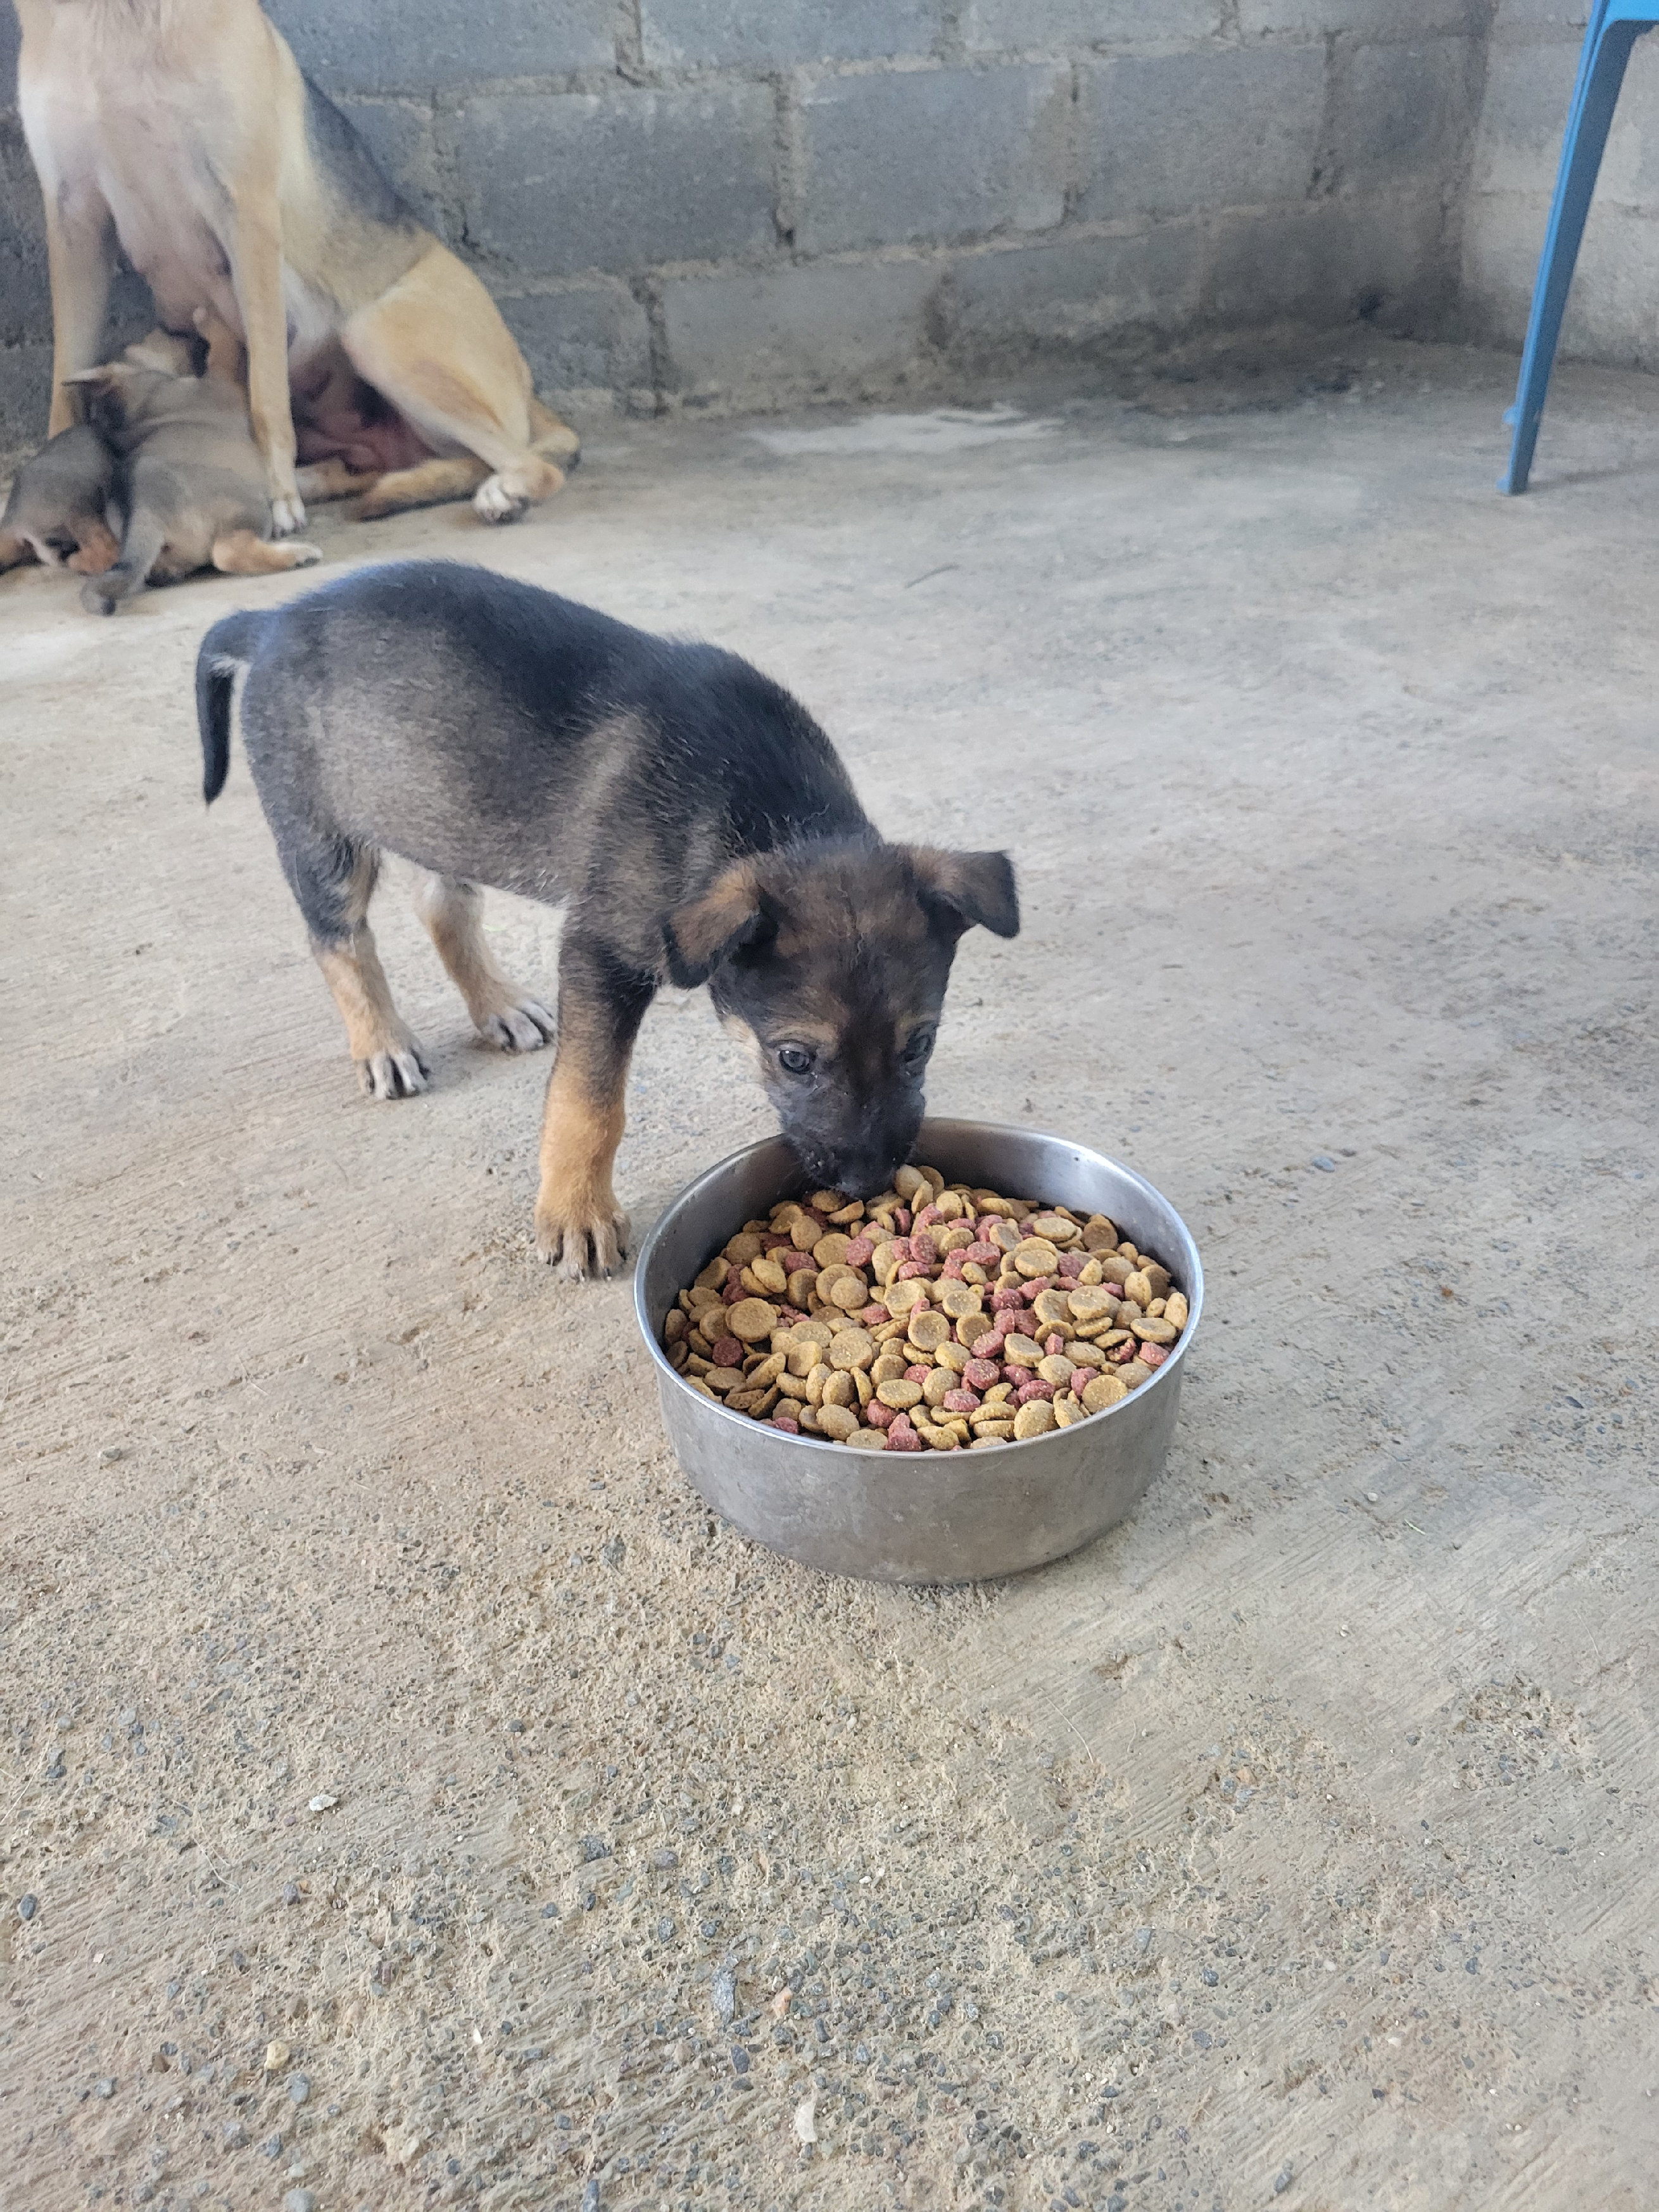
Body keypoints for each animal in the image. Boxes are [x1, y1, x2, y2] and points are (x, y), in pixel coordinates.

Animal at [13, 1, 579, 535]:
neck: (115, 17)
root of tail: (527, 384)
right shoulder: (73, 221)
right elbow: (65, 384)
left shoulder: (246, 213)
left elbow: (266, 396)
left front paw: (276, 494)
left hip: (376, 332)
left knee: (534, 465)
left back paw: (504, 491)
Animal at [69, 307, 320, 610]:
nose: (174, 328)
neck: (137, 408)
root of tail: (146, 511)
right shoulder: (220, 375)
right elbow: (222, 344)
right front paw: (205, 317)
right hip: (250, 508)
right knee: (227, 552)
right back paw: (297, 555)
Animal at [200, 562, 1021, 1273]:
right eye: (793, 1058)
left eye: (921, 1044)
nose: (864, 1184)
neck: (773, 817)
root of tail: (270, 620)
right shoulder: (603, 950)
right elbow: (588, 1099)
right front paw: (576, 1213)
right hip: (323, 834)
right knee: (338, 939)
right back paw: (382, 1043)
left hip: (439, 802)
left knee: (442, 903)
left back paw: (499, 1006)